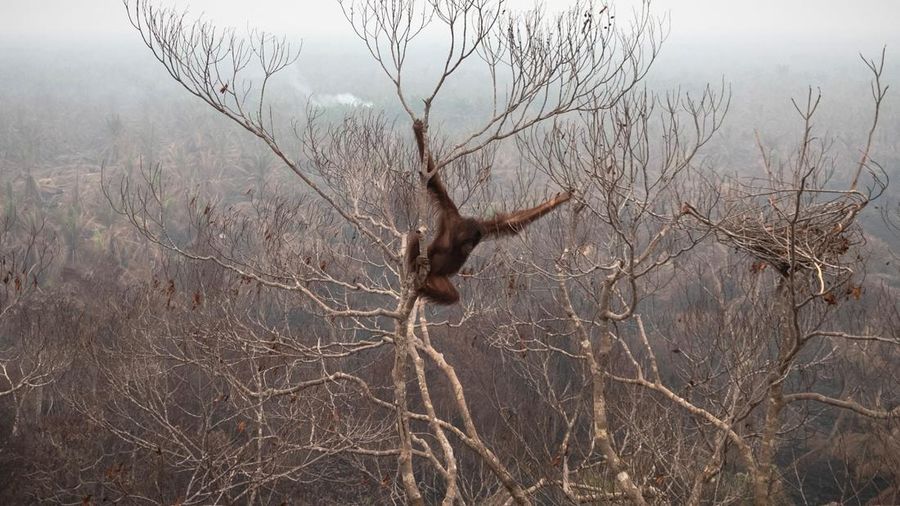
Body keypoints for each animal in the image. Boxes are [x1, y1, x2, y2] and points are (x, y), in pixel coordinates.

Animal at [407, 119, 572, 304]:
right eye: (469, 240)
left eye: (475, 241)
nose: (470, 246)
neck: (458, 236)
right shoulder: (450, 214)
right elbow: (435, 182)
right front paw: (418, 129)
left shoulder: (485, 228)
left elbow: (511, 222)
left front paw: (560, 199)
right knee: (415, 239)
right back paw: (416, 264)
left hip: (436, 278)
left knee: (452, 296)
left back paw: (423, 287)